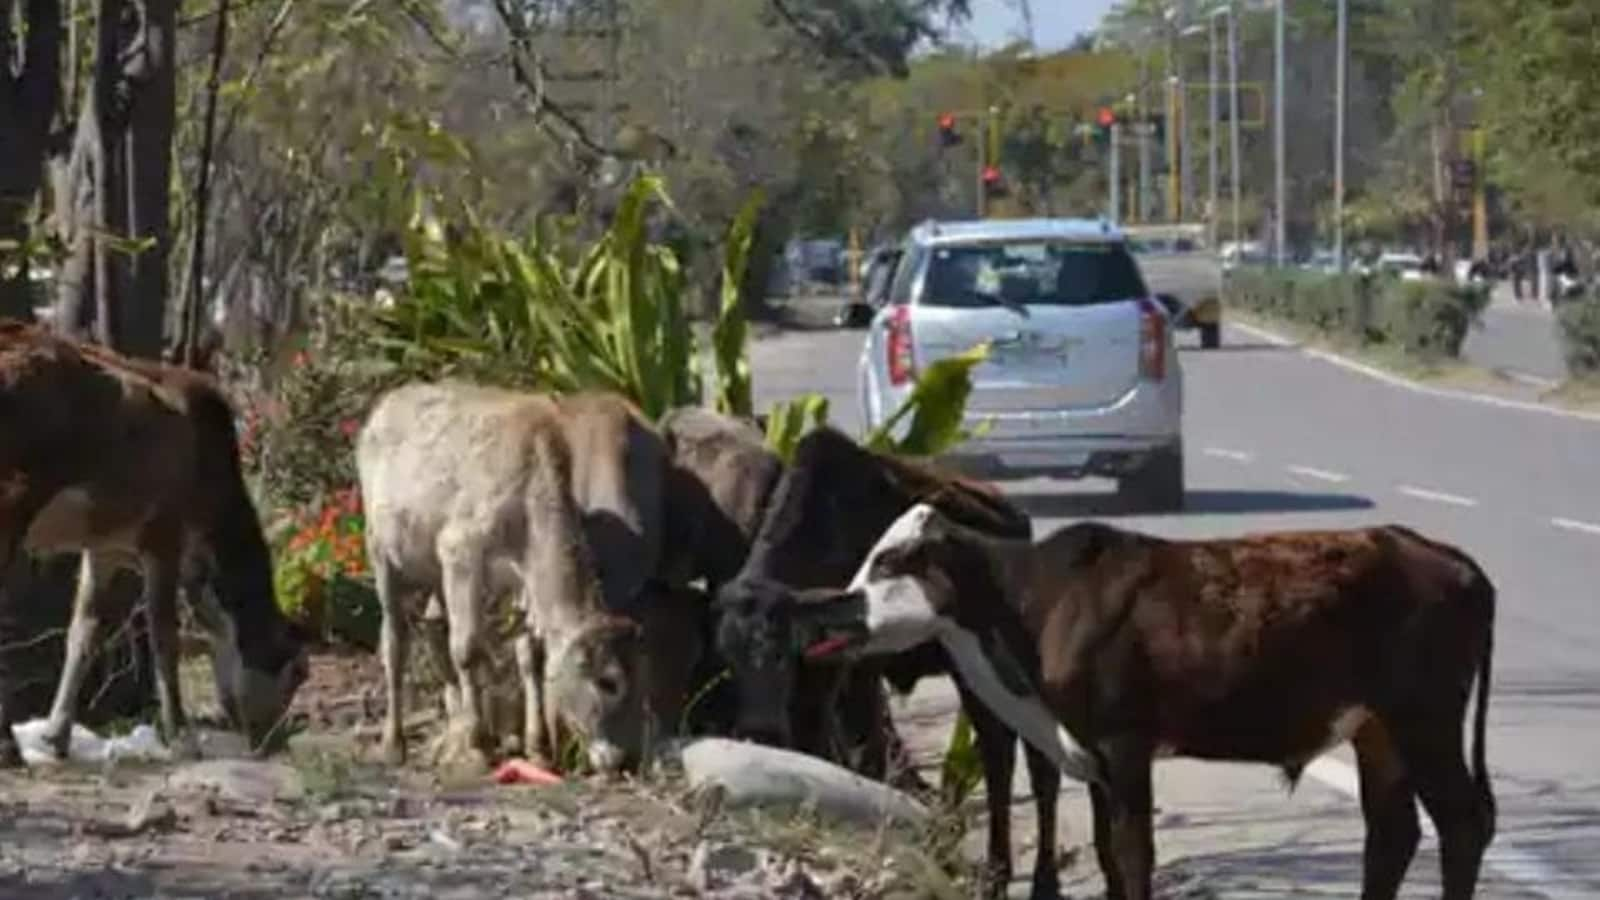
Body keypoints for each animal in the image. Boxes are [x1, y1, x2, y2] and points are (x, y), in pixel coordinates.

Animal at [0, 318, 308, 759]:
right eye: (297, 674)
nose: (272, 741)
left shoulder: (105, 546)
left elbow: (84, 631)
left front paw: (56, 735)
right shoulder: (164, 536)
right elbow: (164, 635)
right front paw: (181, 735)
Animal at [800, 506, 1497, 896]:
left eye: (889, 560)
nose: (831, 607)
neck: (1035, 601)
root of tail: (1447, 558)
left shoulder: (1125, 745)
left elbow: (1134, 858)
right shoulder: (1094, 760)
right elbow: (1109, 855)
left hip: (1425, 719)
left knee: (1461, 823)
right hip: (1377, 729)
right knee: (1394, 834)